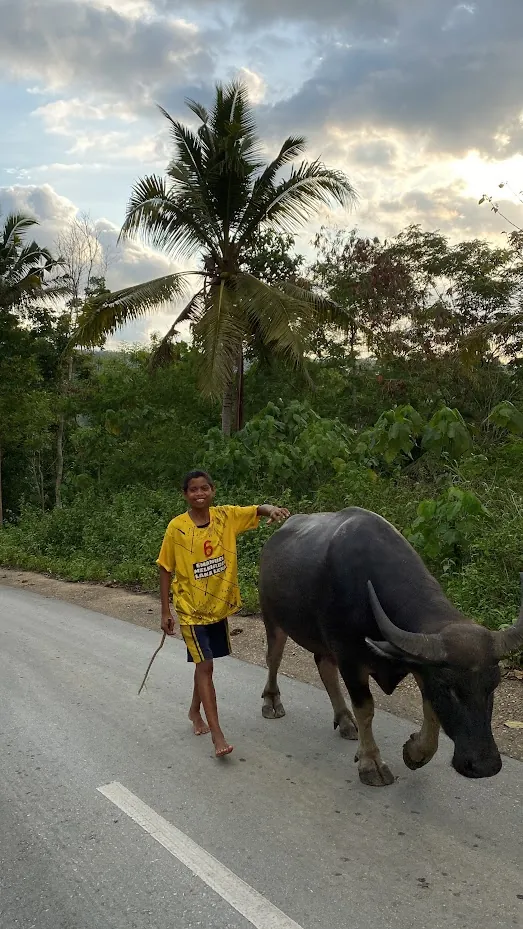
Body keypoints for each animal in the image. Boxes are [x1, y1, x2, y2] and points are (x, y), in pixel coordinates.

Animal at [259, 507, 523, 786]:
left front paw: (416, 751)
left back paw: (344, 720)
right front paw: (371, 763)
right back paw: (272, 702)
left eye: (493, 686)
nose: (484, 765)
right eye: (448, 688)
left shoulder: (416, 661)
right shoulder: (350, 660)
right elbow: (366, 709)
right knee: (274, 658)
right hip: (273, 619)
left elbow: (430, 708)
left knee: (324, 667)